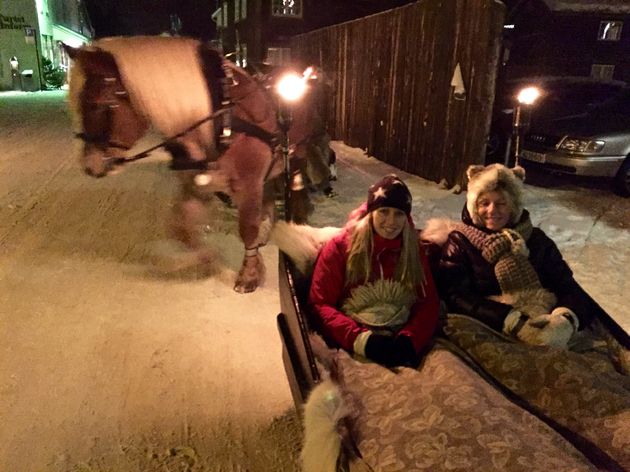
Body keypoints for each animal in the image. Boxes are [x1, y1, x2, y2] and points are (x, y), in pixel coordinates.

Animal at [66, 37, 326, 294]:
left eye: (96, 104)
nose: (89, 166)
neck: (220, 118)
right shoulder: (197, 185)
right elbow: (181, 230)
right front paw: (210, 259)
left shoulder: (248, 185)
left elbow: (247, 228)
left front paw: (250, 273)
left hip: (298, 153)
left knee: (294, 184)